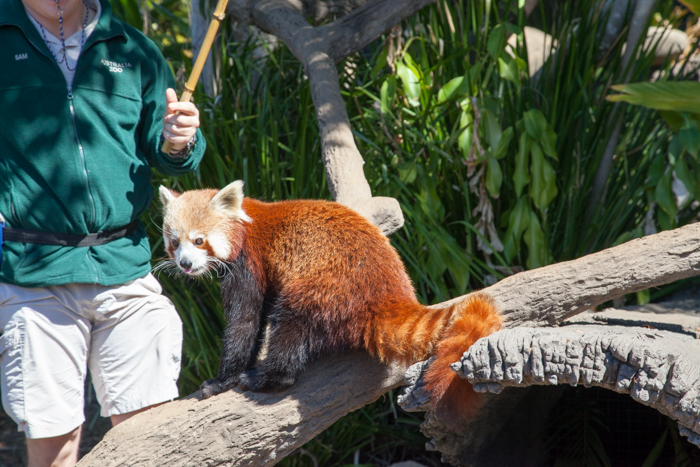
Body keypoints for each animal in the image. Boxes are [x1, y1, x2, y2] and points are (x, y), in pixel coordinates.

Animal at [159, 181, 500, 418]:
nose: (185, 264)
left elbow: (244, 321)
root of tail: (389, 293)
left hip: (323, 290)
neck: (245, 225)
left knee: (291, 325)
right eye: (174, 242)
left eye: (199, 241)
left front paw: (222, 380)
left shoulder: (248, 263)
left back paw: (266, 378)